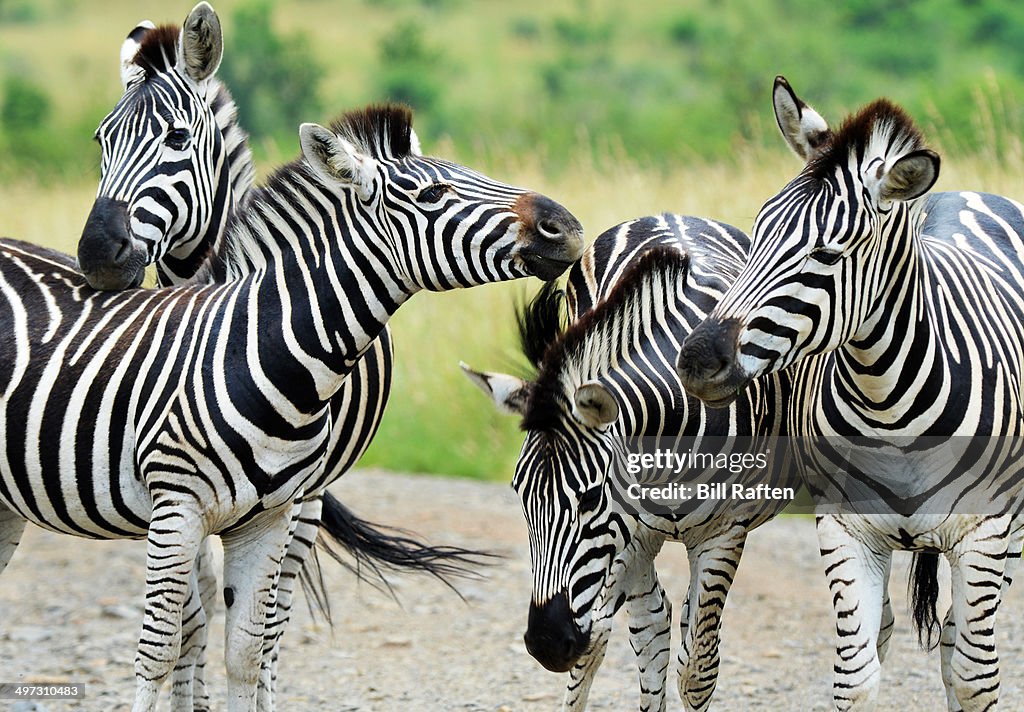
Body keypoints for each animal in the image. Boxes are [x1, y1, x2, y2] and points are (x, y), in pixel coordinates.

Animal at [0, 101, 581, 712]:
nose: (566, 226)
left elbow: (246, 653)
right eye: (433, 193)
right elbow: (157, 652)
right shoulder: (176, 507)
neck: (260, 352)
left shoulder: (270, 518)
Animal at [460, 214, 794, 708]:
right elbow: (614, 639)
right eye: (521, 496)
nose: (545, 643)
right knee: (646, 626)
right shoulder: (629, 532)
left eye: (590, 497)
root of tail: (675, 214)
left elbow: (698, 669)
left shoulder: (725, 533)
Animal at [671, 75, 1024, 708]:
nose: (698, 361)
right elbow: (855, 677)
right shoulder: (844, 529)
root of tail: (963, 192)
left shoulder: (986, 532)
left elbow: (974, 678)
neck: (892, 408)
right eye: (756, 233)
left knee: (957, 643)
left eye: (828, 256)